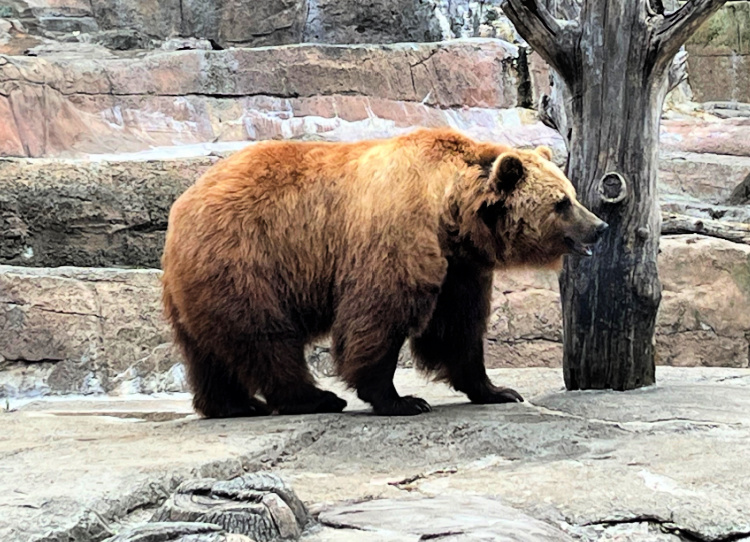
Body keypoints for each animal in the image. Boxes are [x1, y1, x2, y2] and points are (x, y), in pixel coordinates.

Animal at [162, 130, 608, 418]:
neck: (451, 213)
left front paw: (498, 390)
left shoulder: (460, 267)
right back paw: (313, 398)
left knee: (208, 350)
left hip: (199, 283)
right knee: (265, 338)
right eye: (562, 203)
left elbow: (458, 329)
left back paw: (232, 404)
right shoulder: (399, 234)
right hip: (248, 259)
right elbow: (379, 316)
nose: (600, 226)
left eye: (572, 195)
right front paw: (401, 400)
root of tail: (181, 207)